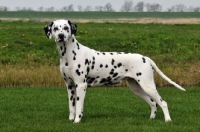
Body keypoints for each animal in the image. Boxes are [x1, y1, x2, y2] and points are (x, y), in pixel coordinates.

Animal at [44, 19, 186, 124]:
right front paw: (71, 119)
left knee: (163, 103)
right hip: (137, 88)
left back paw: (168, 120)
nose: (61, 36)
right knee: (153, 103)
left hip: (148, 86)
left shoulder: (81, 85)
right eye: (55, 29)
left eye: (66, 28)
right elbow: (72, 106)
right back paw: (151, 118)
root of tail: (145, 58)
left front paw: (77, 121)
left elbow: (79, 106)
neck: (68, 54)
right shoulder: (70, 86)